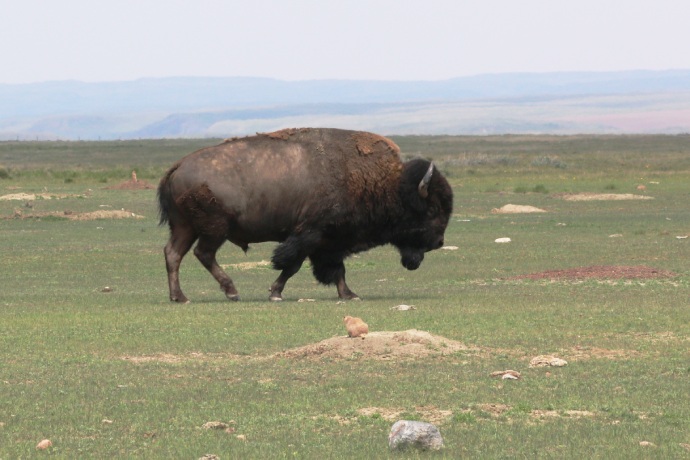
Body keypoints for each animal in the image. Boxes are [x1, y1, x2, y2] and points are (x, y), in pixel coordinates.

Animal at [159, 128, 454, 302]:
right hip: (214, 229)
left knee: (174, 254)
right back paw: (231, 291)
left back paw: (179, 297)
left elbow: (335, 269)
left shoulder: (328, 242)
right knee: (203, 254)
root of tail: (178, 166)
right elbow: (292, 265)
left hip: (185, 227)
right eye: (432, 209)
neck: (385, 183)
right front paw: (276, 293)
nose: (439, 242)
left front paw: (348, 294)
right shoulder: (311, 235)